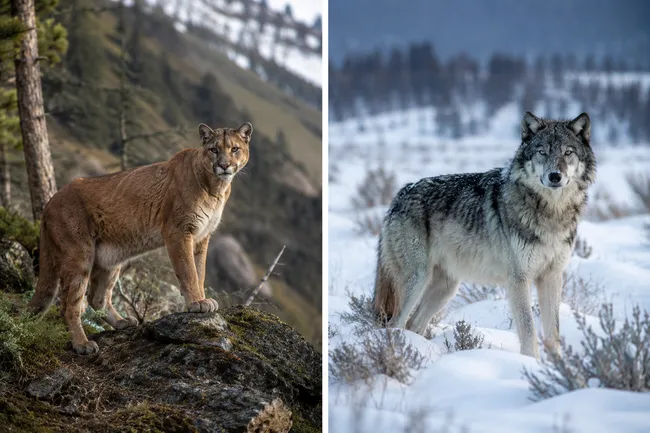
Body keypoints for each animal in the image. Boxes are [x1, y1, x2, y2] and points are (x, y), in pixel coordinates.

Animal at [373, 112, 596, 358]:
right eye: (542, 151)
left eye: (568, 152)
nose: (555, 176)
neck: (552, 213)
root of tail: (402, 193)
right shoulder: (518, 280)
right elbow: (529, 330)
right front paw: (531, 363)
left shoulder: (552, 277)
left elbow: (553, 334)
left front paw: (558, 367)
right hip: (418, 279)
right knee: (394, 324)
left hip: (446, 288)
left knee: (413, 325)